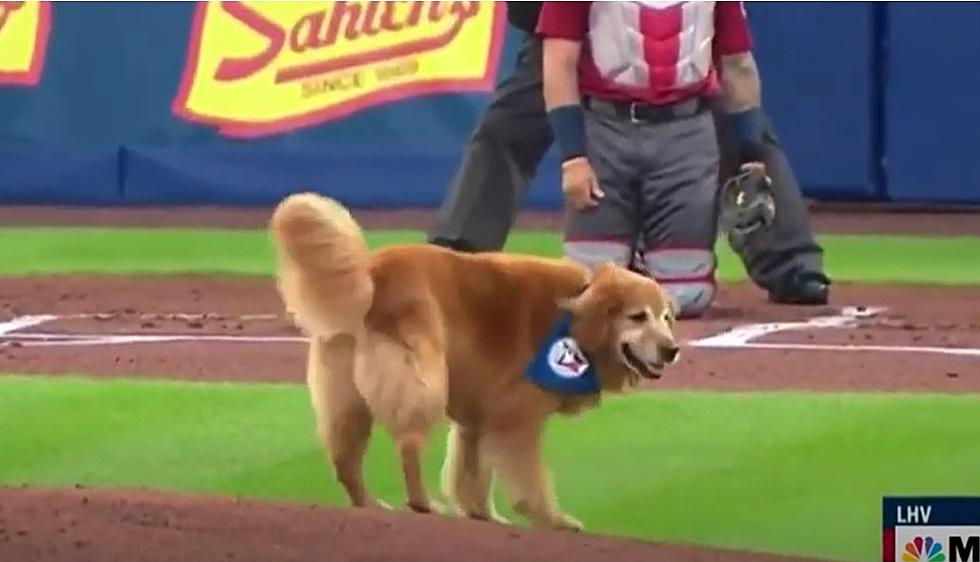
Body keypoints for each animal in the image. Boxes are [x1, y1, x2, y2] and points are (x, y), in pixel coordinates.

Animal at [268, 192, 680, 528]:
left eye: (666, 318)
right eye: (637, 317)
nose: (672, 350)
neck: (576, 312)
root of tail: (371, 272)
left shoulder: (479, 417)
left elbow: (472, 472)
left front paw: (483, 515)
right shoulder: (515, 420)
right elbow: (530, 477)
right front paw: (552, 519)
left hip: (345, 393)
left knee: (345, 458)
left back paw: (368, 503)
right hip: (424, 381)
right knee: (408, 445)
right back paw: (422, 503)